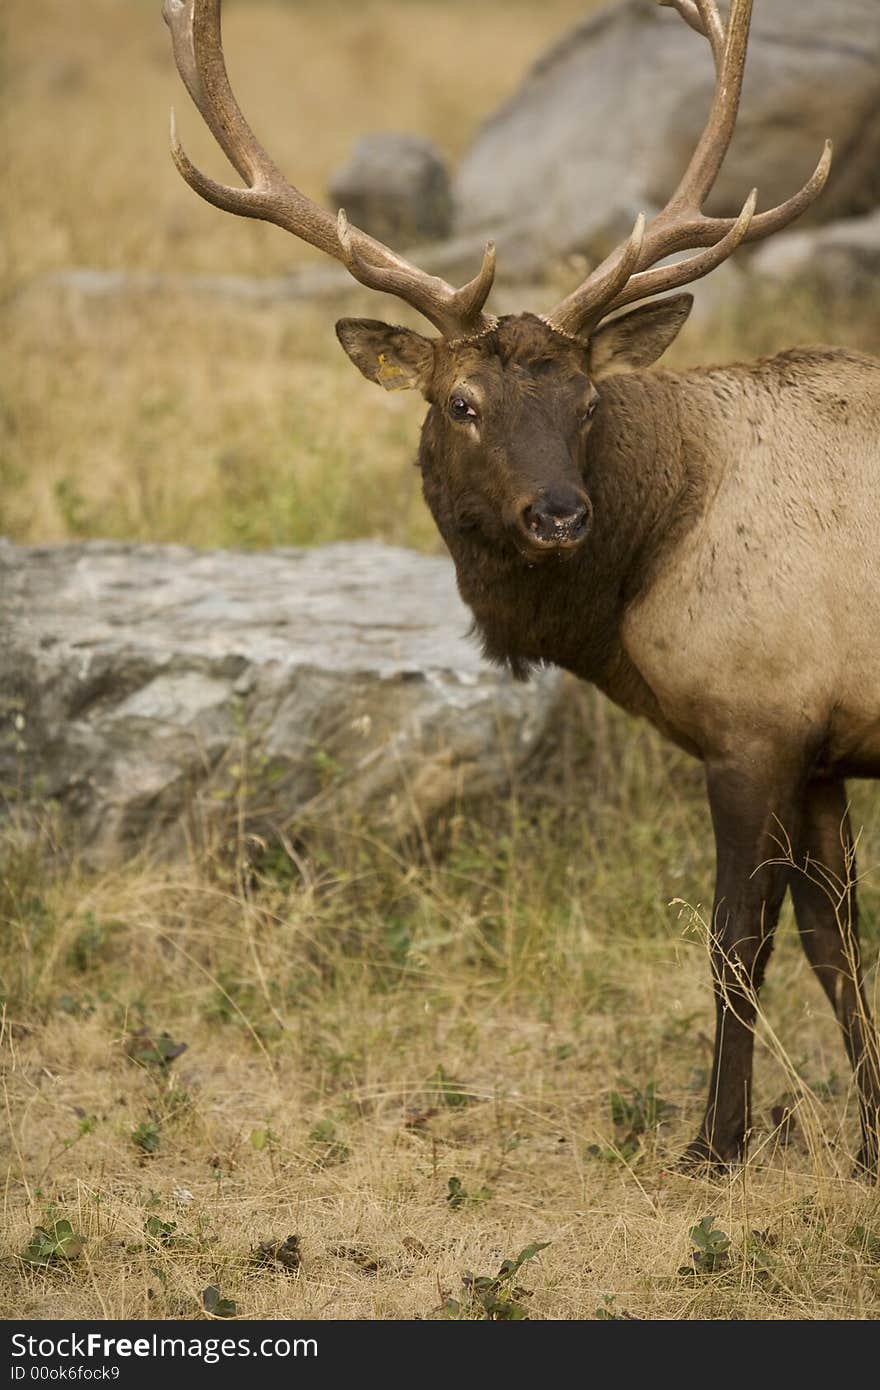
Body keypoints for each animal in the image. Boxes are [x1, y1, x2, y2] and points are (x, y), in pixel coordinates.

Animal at [164, 0, 878, 1173]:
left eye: (588, 402)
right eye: (461, 402)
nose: (558, 516)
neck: (649, 563)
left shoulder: (754, 722)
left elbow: (736, 944)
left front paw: (714, 1145)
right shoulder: (818, 749)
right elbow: (836, 949)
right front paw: (867, 1146)